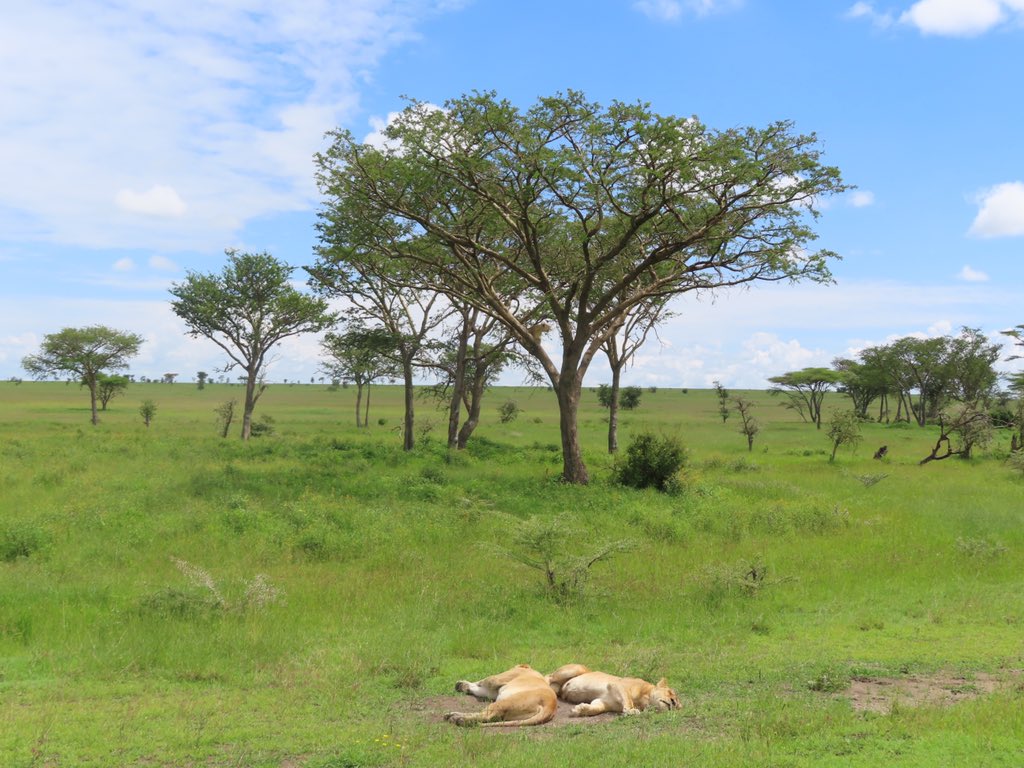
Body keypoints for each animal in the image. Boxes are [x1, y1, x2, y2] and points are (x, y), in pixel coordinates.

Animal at [546, 664, 680, 717]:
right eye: (670, 693)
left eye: (679, 707)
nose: (674, 703)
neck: (644, 701)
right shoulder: (618, 685)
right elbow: (628, 700)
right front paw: (631, 711)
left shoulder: (603, 701)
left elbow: (596, 709)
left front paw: (580, 709)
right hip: (576, 669)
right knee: (548, 676)